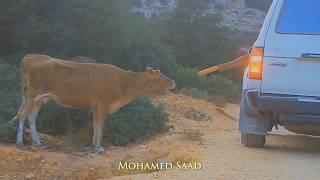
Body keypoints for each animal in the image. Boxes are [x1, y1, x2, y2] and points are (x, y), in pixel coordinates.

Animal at [13, 54, 176, 153]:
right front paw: (99, 147)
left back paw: (37, 142)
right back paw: (20, 141)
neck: (123, 83)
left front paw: (93, 145)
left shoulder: (95, 105)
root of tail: (30, 56)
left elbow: (95, 124)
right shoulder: (102, 103)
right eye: (160, 75)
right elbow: (100, 124)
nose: (173, 81)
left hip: (40, 98)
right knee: (23, 114)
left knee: (32, 117)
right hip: (32, 93)